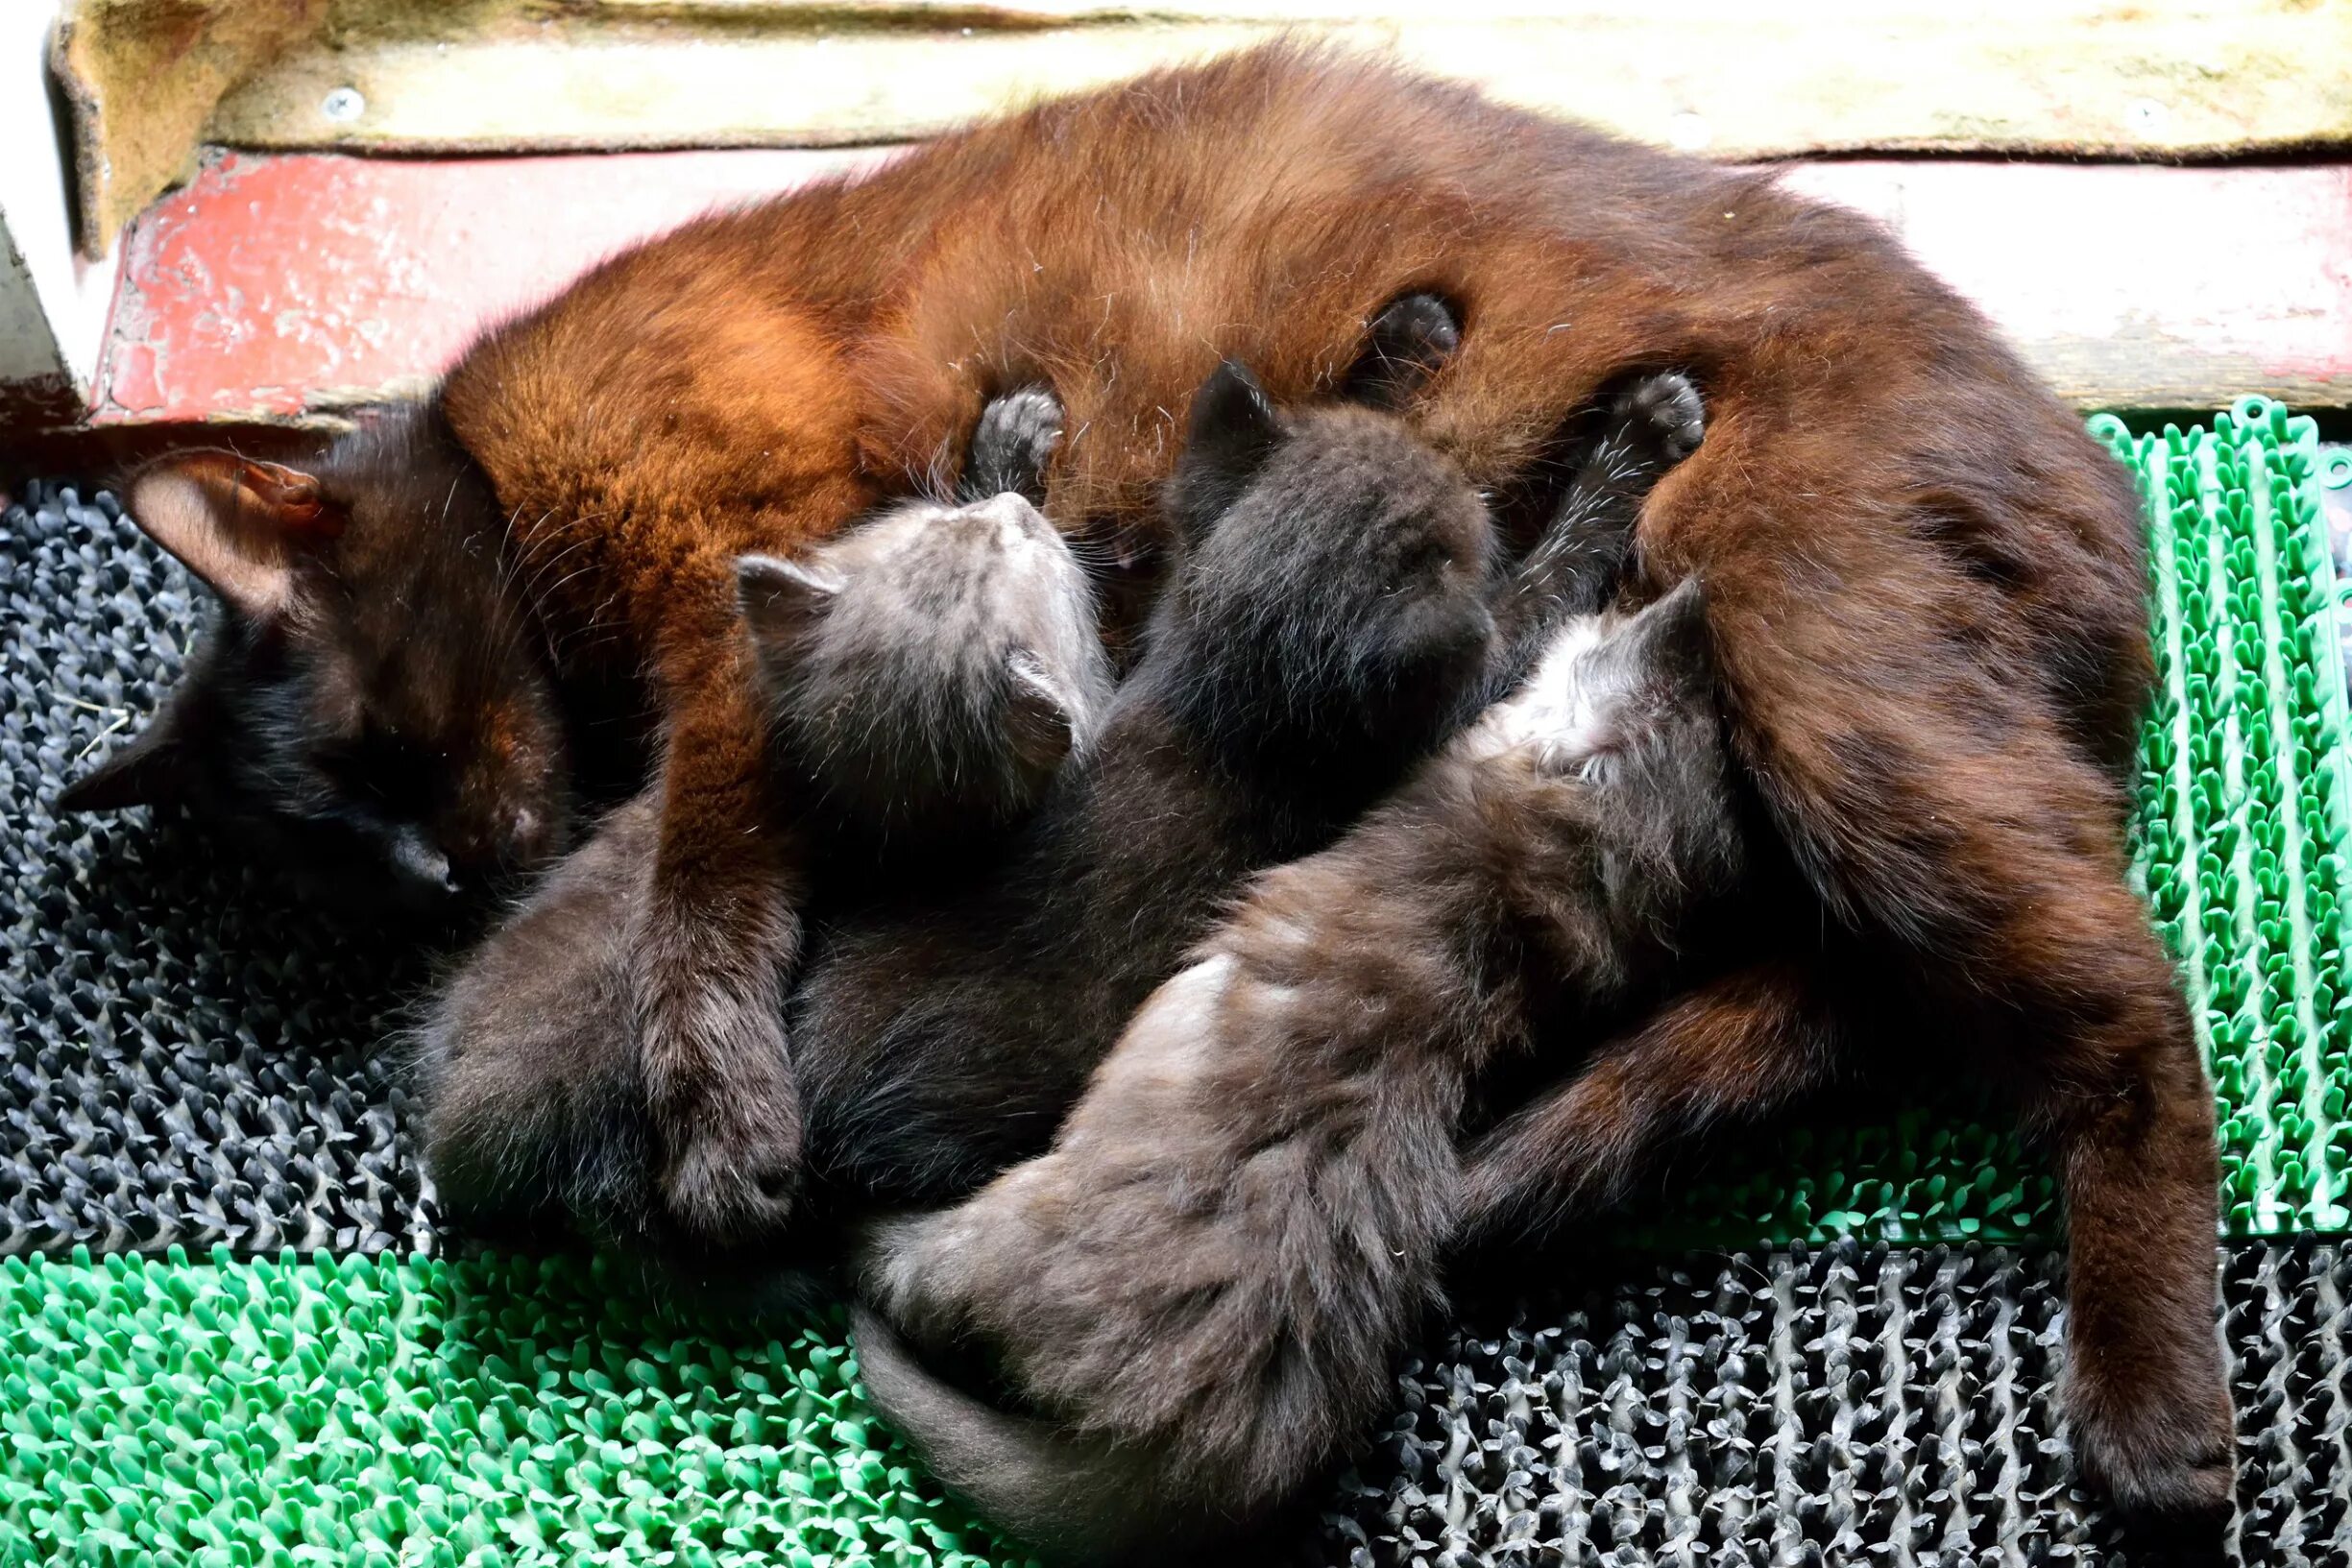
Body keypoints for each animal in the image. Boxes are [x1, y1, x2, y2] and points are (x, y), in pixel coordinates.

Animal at [861, 580, 1750, 1568]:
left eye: (1639, 664)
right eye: (1694, 701)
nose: (1686, 598)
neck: (1514, 893)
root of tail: (1203, 1445)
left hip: (998, 1226)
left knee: (921, 1281)